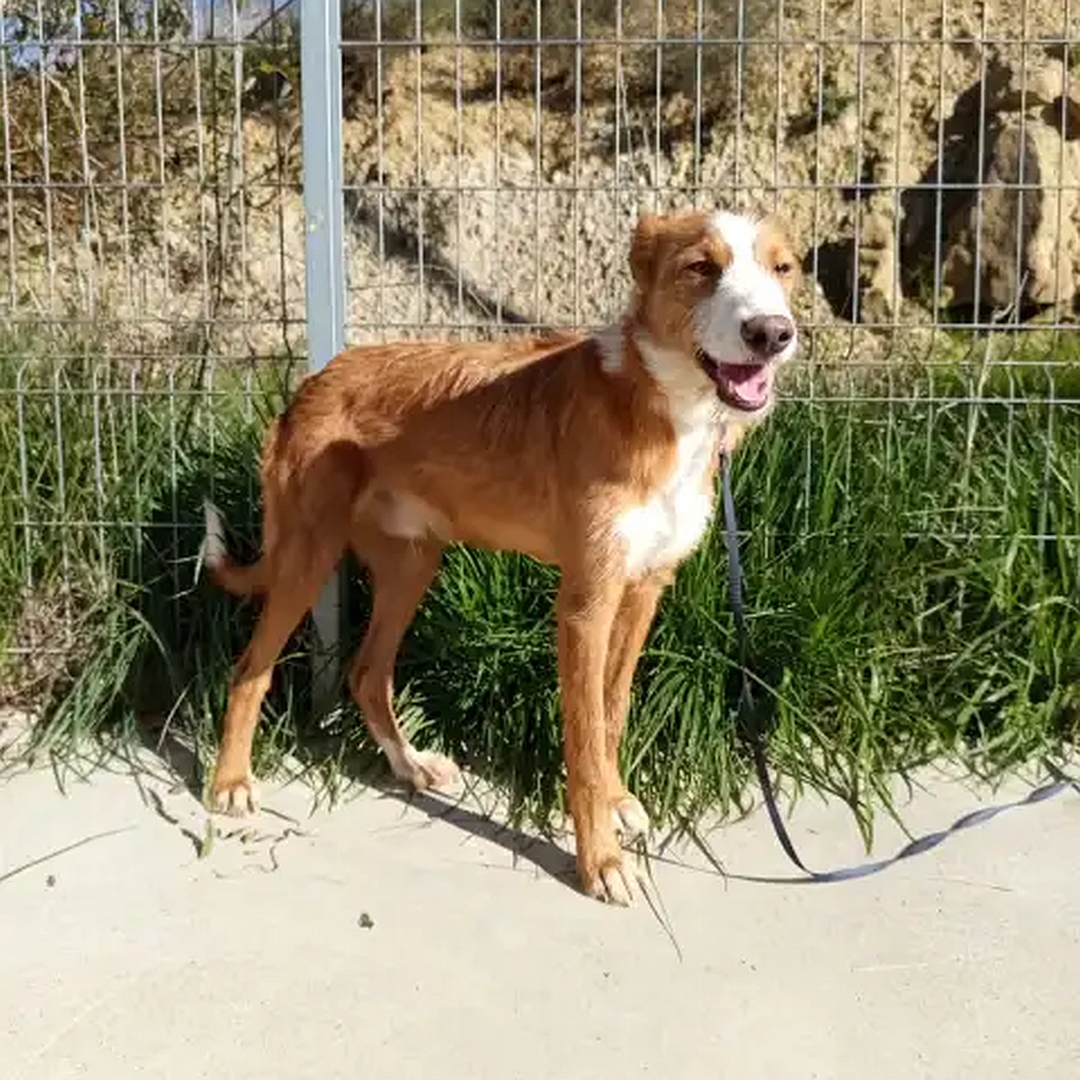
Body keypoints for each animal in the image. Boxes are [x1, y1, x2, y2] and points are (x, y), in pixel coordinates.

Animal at [203, 208, 799, 902]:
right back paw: (229, 783)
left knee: (367, 673)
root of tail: (313, 380)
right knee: (251, 669)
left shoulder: (644, 589)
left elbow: (612, 712)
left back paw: (409, 764)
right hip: (307, 553)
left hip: (413, 564)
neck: (659, 404)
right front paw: (600, 859)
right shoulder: (584, 606)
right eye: (701, 267)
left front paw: (617, 800)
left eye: (783, 268)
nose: (772, 333)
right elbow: (583, 739)